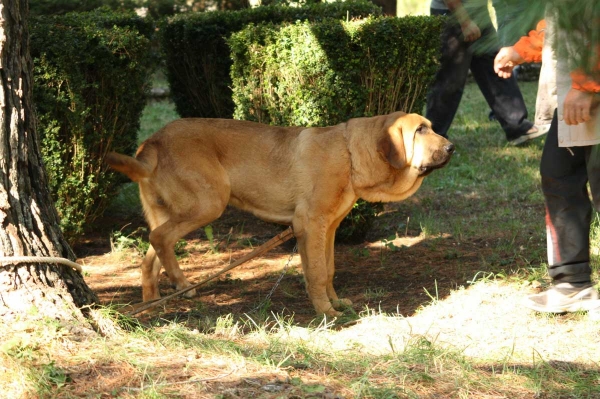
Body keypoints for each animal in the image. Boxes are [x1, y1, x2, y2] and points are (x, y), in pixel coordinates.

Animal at [105, 111, 452, 318]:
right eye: (420, 130)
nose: (452, 148)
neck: (350, 153)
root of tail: (153, 143)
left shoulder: (328, 227)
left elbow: (327, 270)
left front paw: (334, 303)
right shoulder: (310, 224)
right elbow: (316, 272)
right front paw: (327, 313)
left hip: (171, 210)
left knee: (150, 254)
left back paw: (152, 303)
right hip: (208, 203)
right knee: (160, 239)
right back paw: (181, 283)